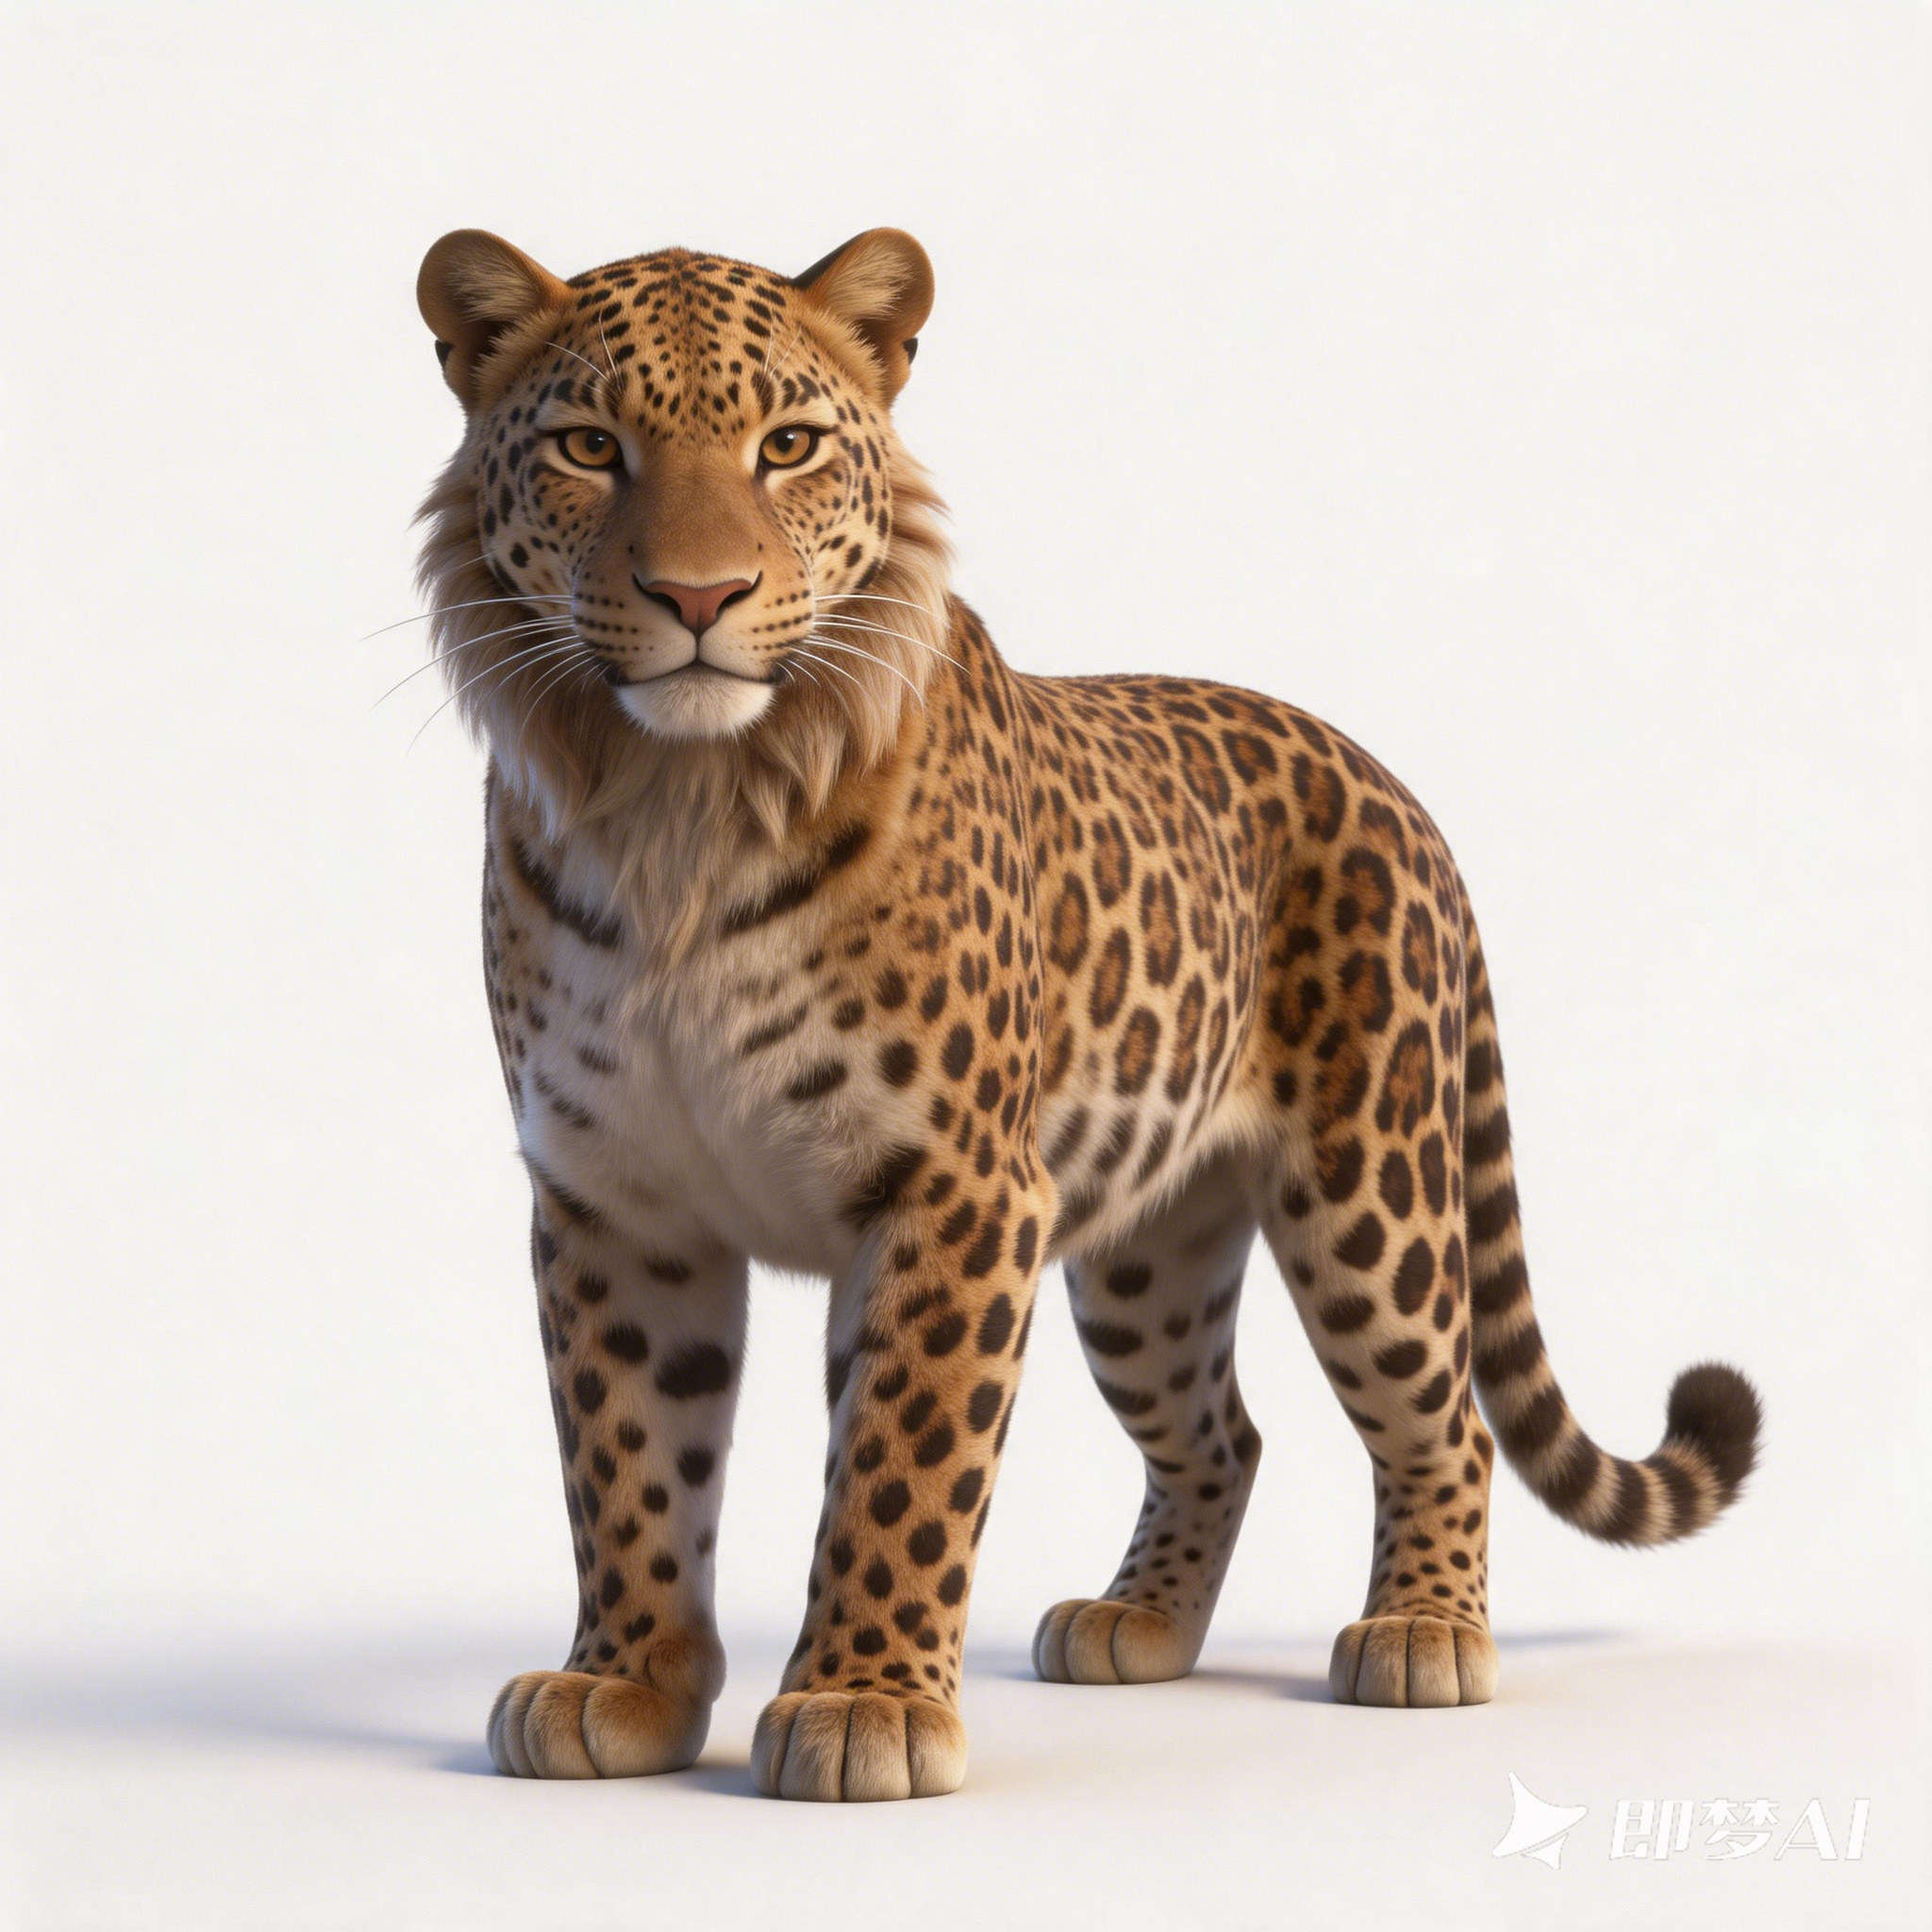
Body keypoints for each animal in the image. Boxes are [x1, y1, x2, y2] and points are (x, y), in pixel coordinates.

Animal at [409, 224, 1761, 1801]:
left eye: (787, 446)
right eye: (589, 446)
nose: (700, 600)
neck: (675, 807)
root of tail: (1386, 779)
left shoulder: (952, 1186)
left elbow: (902, 1462)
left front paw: (864, 1705)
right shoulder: (613, 1193)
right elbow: (628, 1460)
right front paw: (623, 1684)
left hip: (1374, 1192)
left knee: (1450, 1422)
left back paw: (1423, 1633)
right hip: (1146, 1257)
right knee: (1223, 1435)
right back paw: (1142, 1625)